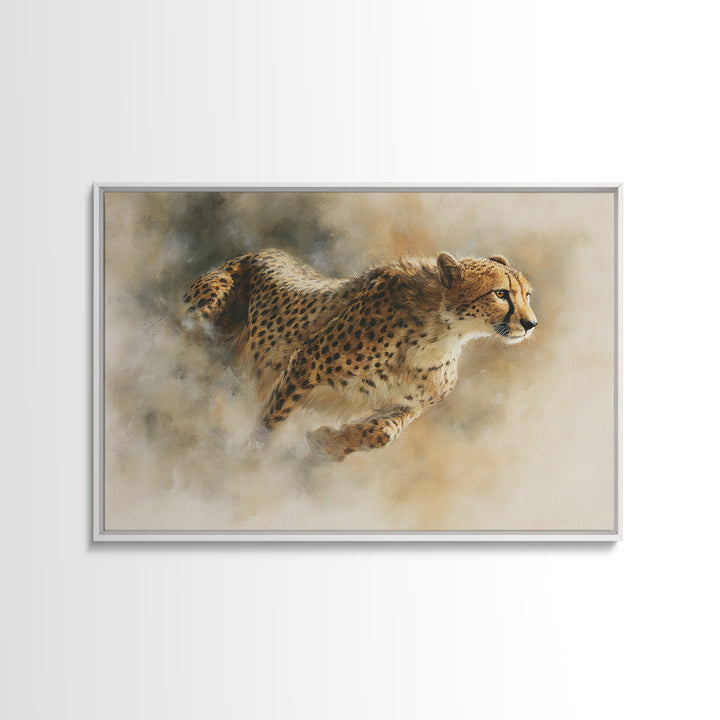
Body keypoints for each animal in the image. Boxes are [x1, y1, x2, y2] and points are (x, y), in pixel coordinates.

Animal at [183, 248, 537, 461]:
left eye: (527, 295)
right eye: (501, 293)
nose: (531, 323)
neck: (439, 332)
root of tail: (262, 251)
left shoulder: (408, 405)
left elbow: (384, 432)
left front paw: (328, 442)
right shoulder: (303, 363)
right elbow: (272, 420)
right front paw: (252, 459)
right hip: (204, 320)